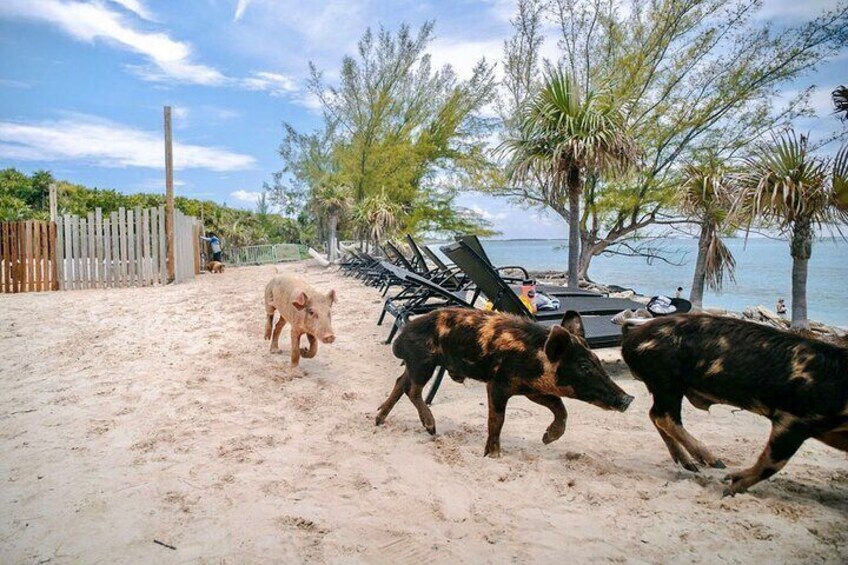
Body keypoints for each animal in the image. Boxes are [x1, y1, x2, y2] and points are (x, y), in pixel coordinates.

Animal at [374, 306, 632, 456]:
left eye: (598, 361)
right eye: (584, 366)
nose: (628, 398)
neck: (535, 360)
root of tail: (403, 334)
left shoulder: (532, 390)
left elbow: (560, 407)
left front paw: (546, 440)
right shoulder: (497, 385)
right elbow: (497, 420)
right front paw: (493, 455)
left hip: (417, 364)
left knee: (399, 382)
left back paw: (379, 420)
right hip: (423, 362)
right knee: (412, 389)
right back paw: (431, 428)